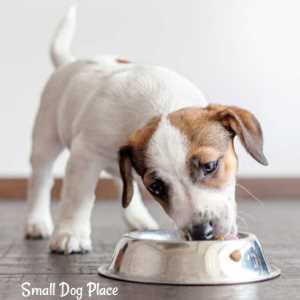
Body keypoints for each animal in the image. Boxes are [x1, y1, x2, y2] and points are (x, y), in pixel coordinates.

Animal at [24, 6, 268, 253]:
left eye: (210, 166)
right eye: (157, 187)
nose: (201, 233)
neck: (161, 106)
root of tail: (69, 63)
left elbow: (124, 188)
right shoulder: (84, 155)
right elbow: (78, 197)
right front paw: (71, 233)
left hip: (116, 158)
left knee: (124, 183)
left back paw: (137, 217)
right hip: (46, 139)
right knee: (41, 179)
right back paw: (37, 221)